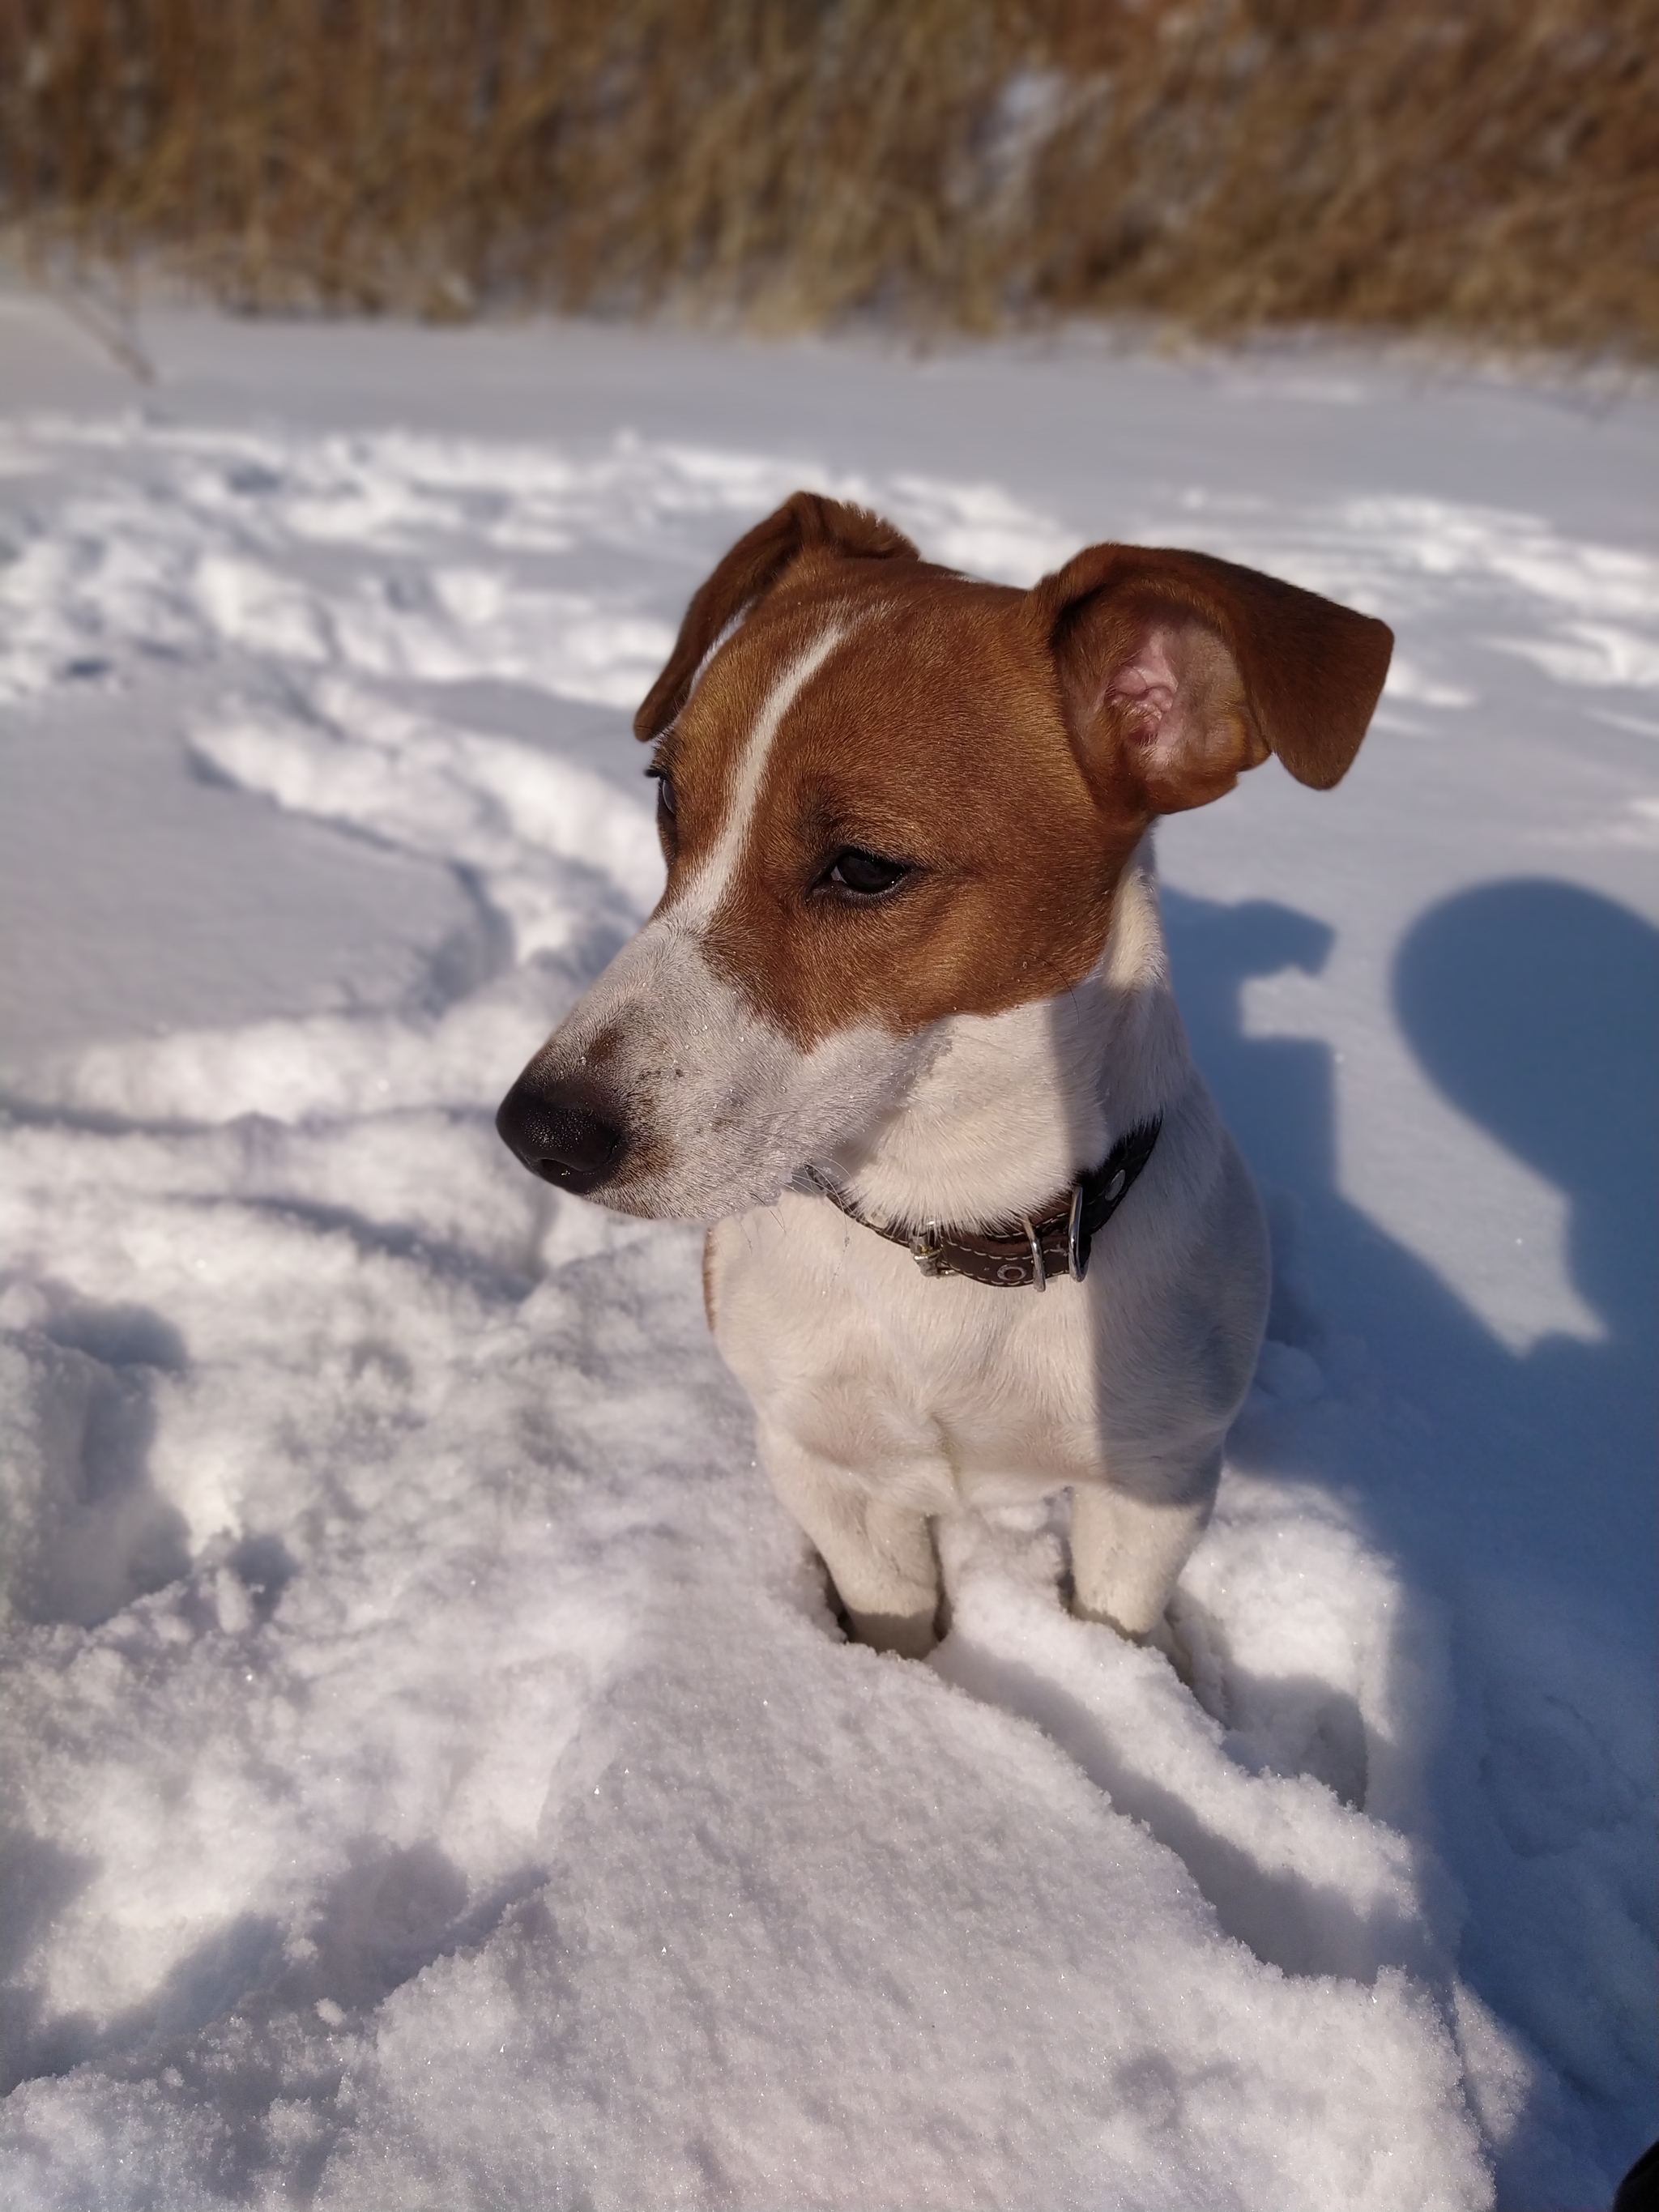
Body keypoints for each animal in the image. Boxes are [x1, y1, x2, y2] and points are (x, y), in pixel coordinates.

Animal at [493, 488, 1388, 1663]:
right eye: (669, 800)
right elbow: (892, 1617)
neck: (950, 1216)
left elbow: (1112, 1625)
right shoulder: (827, 1463)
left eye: (865, 867)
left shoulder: (1153, 1487)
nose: (537, 1128)